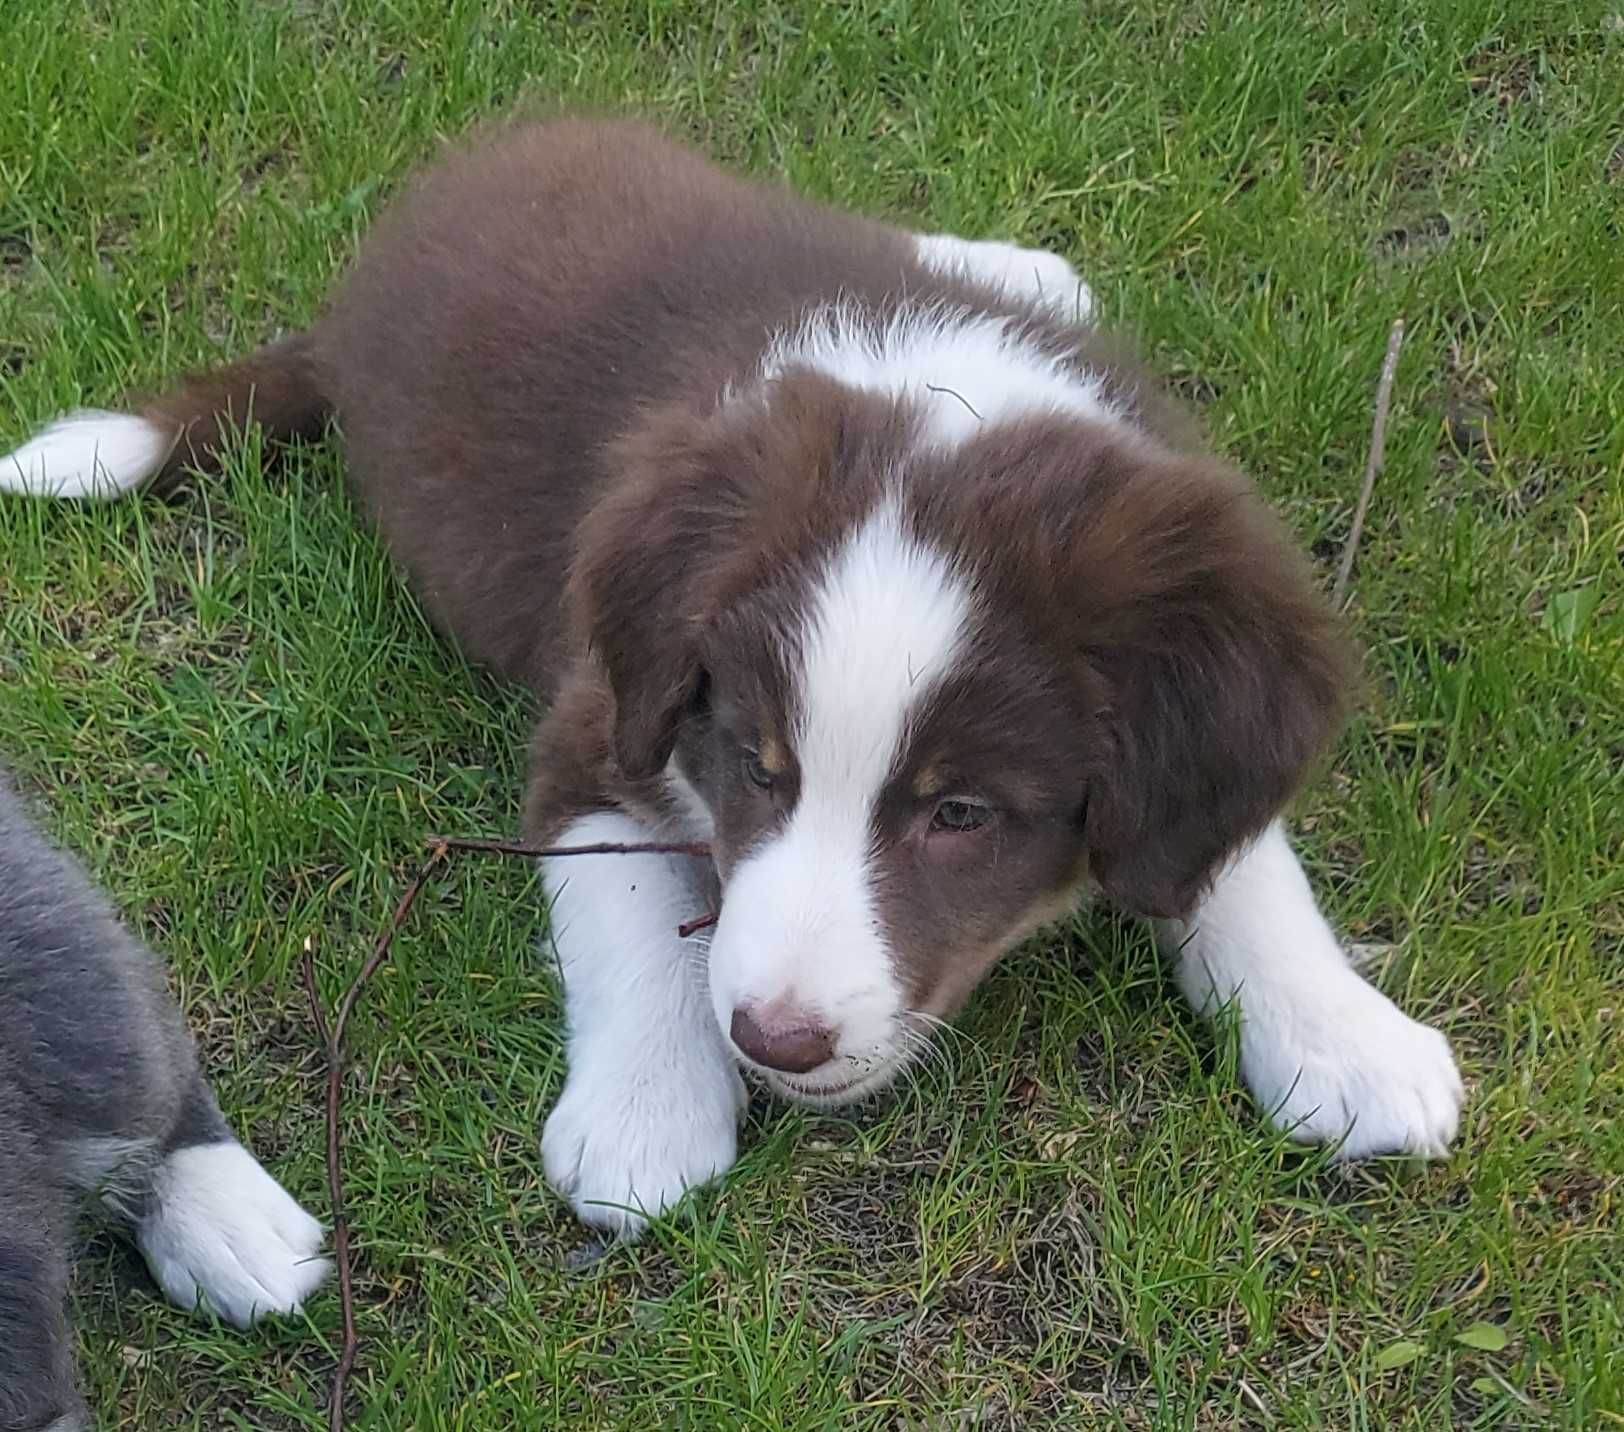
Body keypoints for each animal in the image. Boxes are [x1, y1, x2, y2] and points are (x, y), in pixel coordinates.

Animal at [0, 116, 1474, 1233]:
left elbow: (1235, 859)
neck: (932, 410)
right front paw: (645, 1117)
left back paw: (1020, 263)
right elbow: (629, 910)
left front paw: (1343, 1036)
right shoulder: (601, 718)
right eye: (756, 767)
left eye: (962, 814)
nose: (777, 1040)